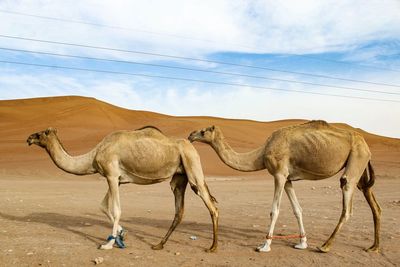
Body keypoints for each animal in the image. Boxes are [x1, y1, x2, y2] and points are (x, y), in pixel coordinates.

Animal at [26, 126, 219, 252]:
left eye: (41, 133)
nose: (28, 138)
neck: (94, 156)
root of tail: (191, 146)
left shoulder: (111, 175)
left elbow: (116, 210)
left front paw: (108, 244)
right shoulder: (115, 180)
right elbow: (103, 206)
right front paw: (121, 234)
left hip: (192, 166)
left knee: (212, 206)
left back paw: (212, 247)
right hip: (179, 177)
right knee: (180, 211)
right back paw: (159, 244)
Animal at [188, 121, 382, 253]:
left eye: (203, 131)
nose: (191, 135)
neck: (262, 153)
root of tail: (365, 144)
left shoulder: (279, 174)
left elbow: (274, 210)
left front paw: (265, 245)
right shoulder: (288, 179)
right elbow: (297, 210)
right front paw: (302, 243)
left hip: (356, 158)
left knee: (347, 199)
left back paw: (325, 246)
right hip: (360, 167)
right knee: (374, 205)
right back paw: (374, 247)